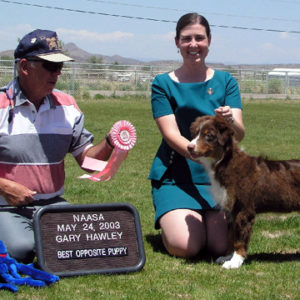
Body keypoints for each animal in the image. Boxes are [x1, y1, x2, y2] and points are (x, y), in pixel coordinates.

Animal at [188, 115, 300, 270]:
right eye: (195, 134)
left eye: (208, 136)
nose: (189, 146)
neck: (225, 163)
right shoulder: (231, 210)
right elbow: (230, 236)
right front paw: (227, 257)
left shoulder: (244, 209)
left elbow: (239, 239)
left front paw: (235, 262)